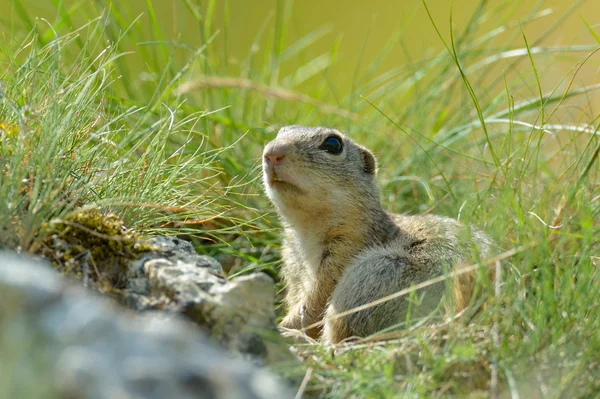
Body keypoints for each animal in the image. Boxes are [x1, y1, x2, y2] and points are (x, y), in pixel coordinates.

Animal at [264, 127, 492, 344]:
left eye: (333, 144)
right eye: (280, 132)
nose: (272, 152)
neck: (306, 230)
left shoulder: (343, 254)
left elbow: (315, 304)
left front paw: (283, 326)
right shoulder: (293, 269)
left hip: (369, 276)